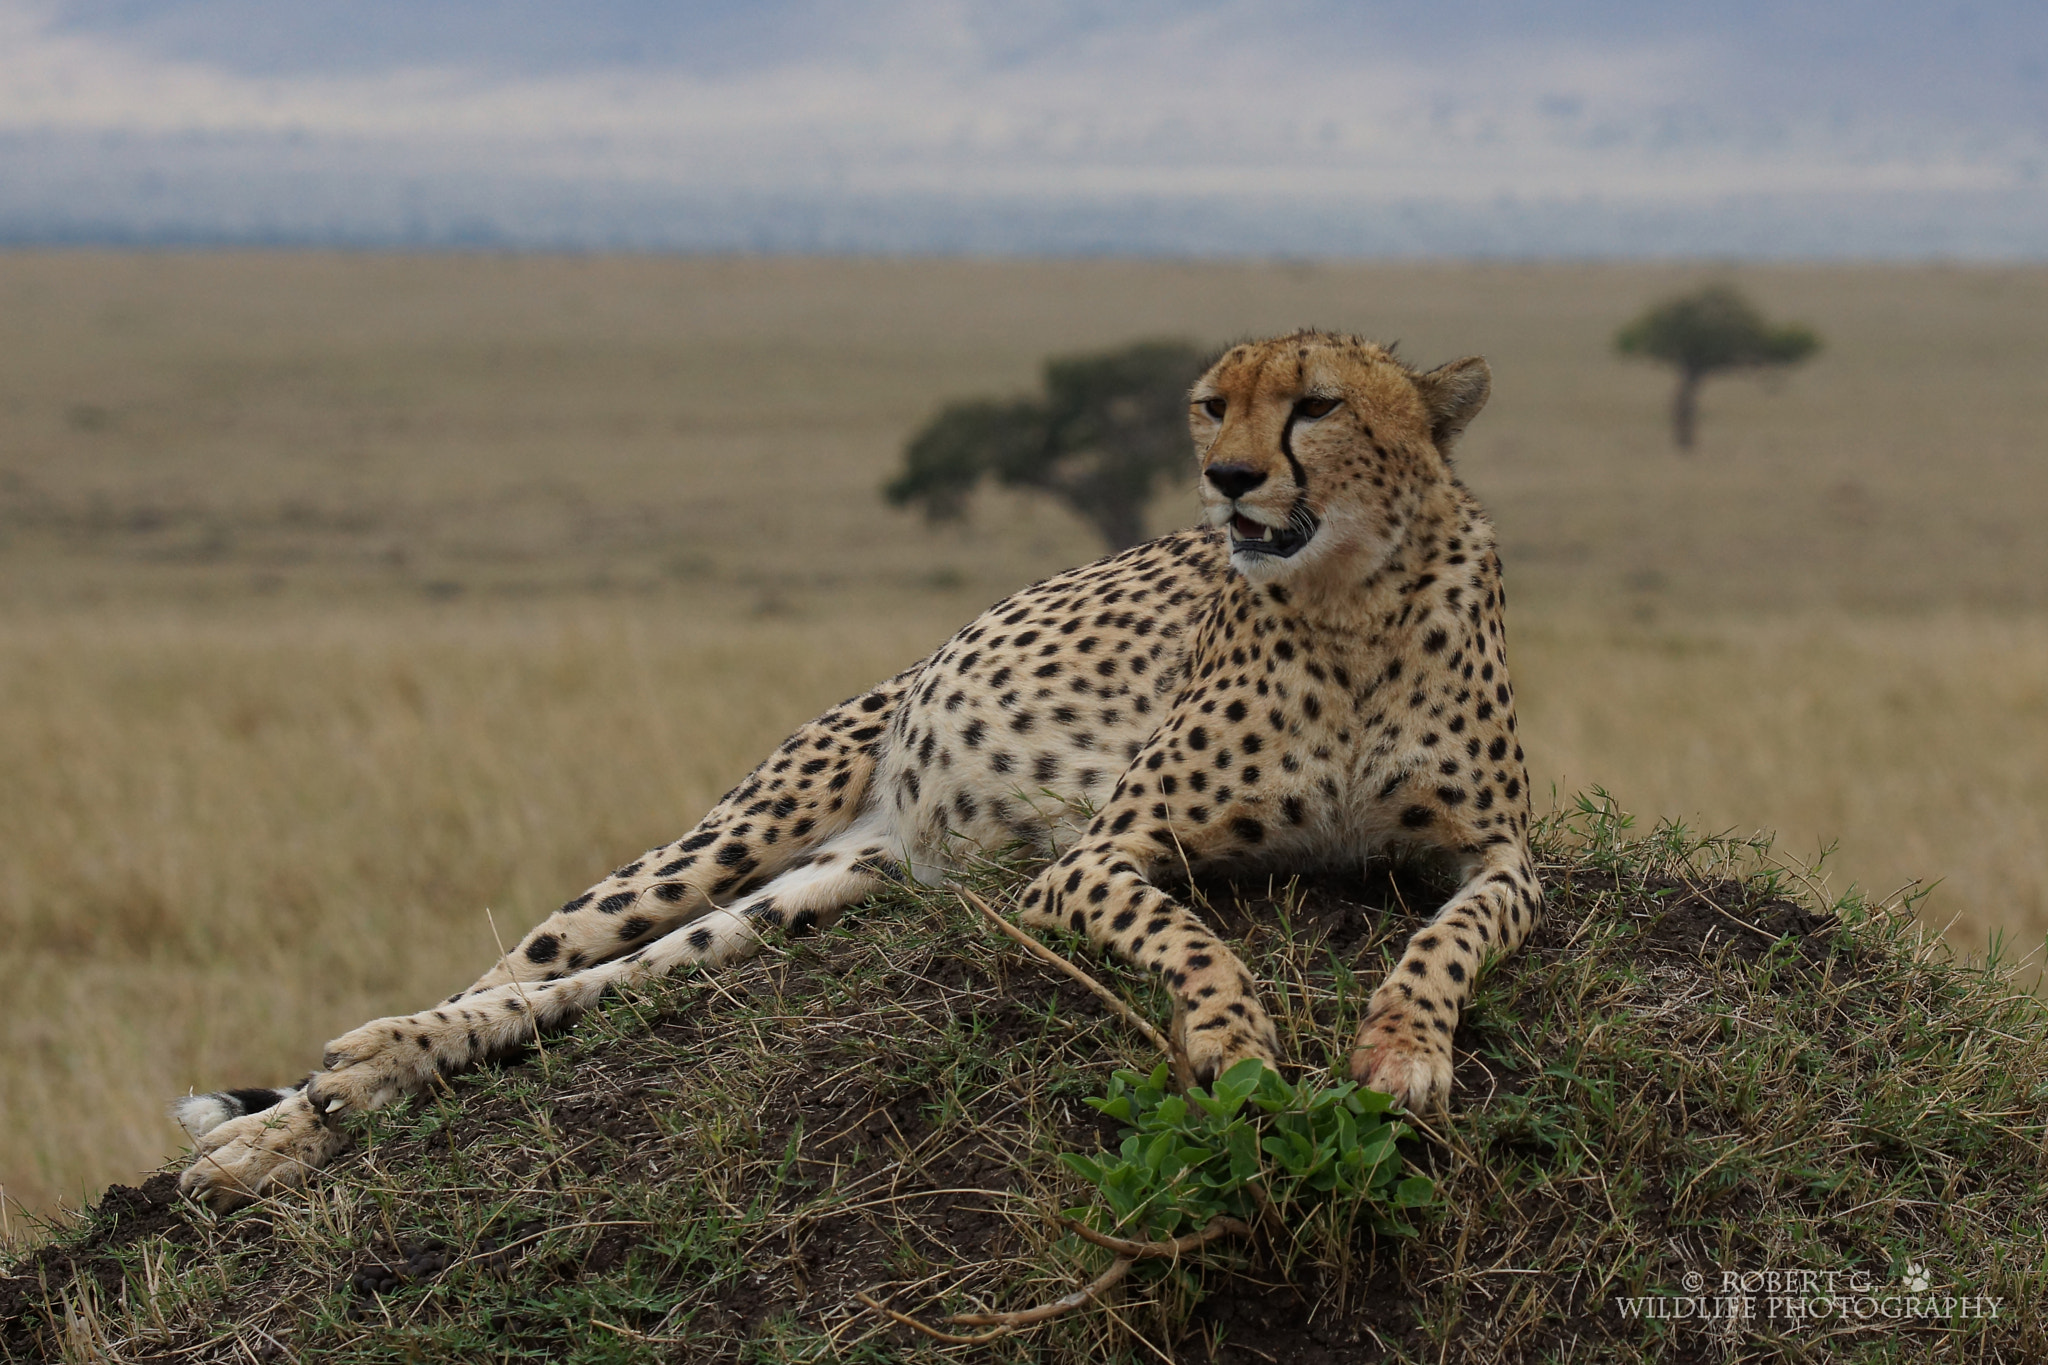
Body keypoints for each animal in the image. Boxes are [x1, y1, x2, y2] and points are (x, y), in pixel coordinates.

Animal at [180, 331, 1540, 1203]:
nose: (1227, 478)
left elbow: (1448, 939)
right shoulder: (1098, 856)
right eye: (1213, 405)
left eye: (1314, 405)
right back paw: (274, 1133)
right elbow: (1194, 939)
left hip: (823, 891)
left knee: (581, 993)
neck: (1347, 604)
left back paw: (355, 1089)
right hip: (723, 839)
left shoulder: (1503, 854)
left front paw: (1402, 1050)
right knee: (514, 969)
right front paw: (1229, 1038)